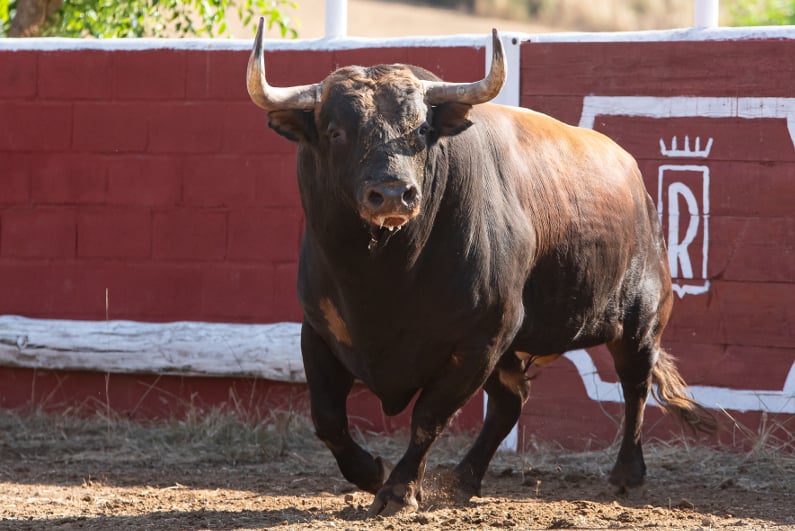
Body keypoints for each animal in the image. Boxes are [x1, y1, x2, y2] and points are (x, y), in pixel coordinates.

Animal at [246, 19, 716, 517]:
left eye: (420, 130)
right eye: (335, 131)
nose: (392, 193)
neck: (385, 277)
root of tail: (637, 183)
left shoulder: (481, 338)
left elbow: (428, 417)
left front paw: (398, 489)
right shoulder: (319, 330)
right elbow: (328, 418)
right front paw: (372, 472)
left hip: (640, 320)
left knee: (635, 386)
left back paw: (627, 472)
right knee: (513, 401)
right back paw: (463, 478)